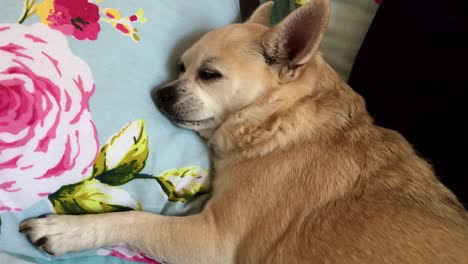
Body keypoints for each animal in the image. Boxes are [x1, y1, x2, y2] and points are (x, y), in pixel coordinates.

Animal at [19, 1, 468, 262]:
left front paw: (65, 230)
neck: (278, 117)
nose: (161, 91)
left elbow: (137, 221)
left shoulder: (212, 241)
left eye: (209, 75)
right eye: (180, 67)